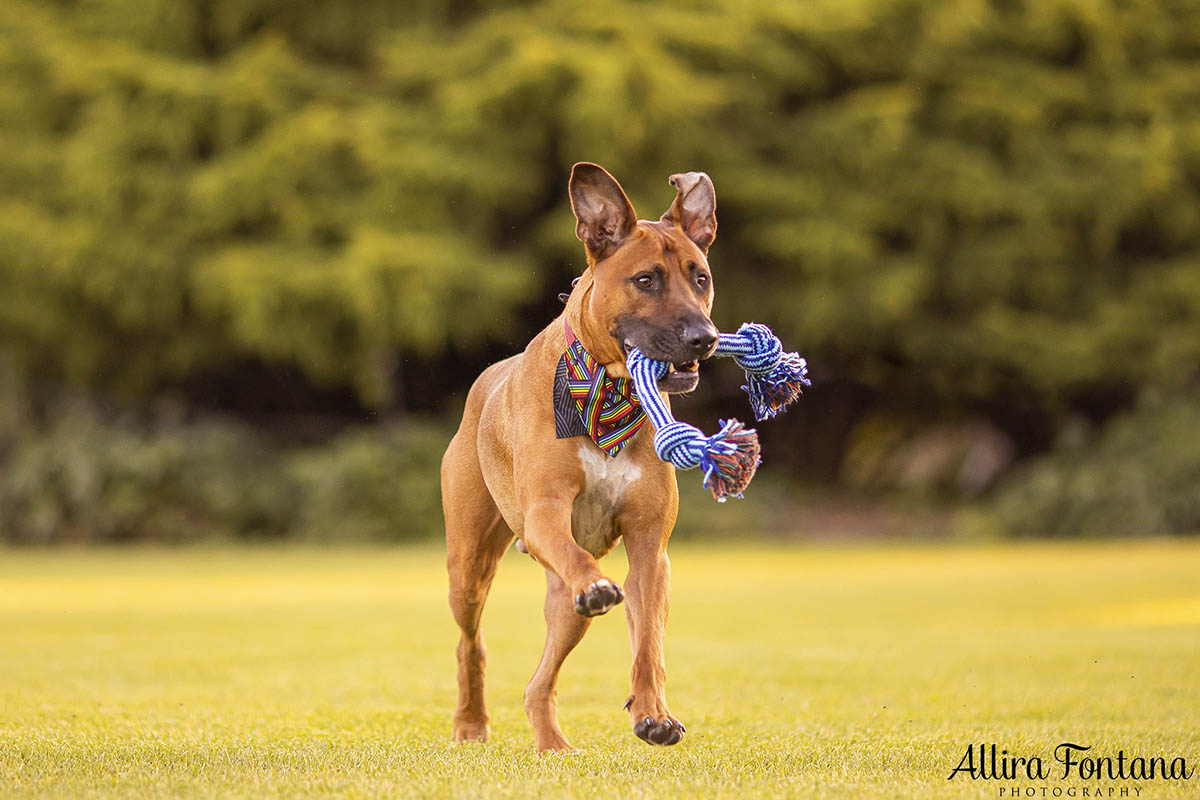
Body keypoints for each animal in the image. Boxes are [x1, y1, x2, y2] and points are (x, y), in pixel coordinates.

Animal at [444, 160, 715, 753]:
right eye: (646, 280)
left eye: (700, 277)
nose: (704, 338)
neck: (608, 391)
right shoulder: (546, 513)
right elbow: (576, 558)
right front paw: (593, 582)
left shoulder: (649, 550)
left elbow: (649, 644)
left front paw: (653, 714)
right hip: (469, 563)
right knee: (470, 643)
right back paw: (471, 722)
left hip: (564, 613)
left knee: (538, 683)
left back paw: (552, 743)